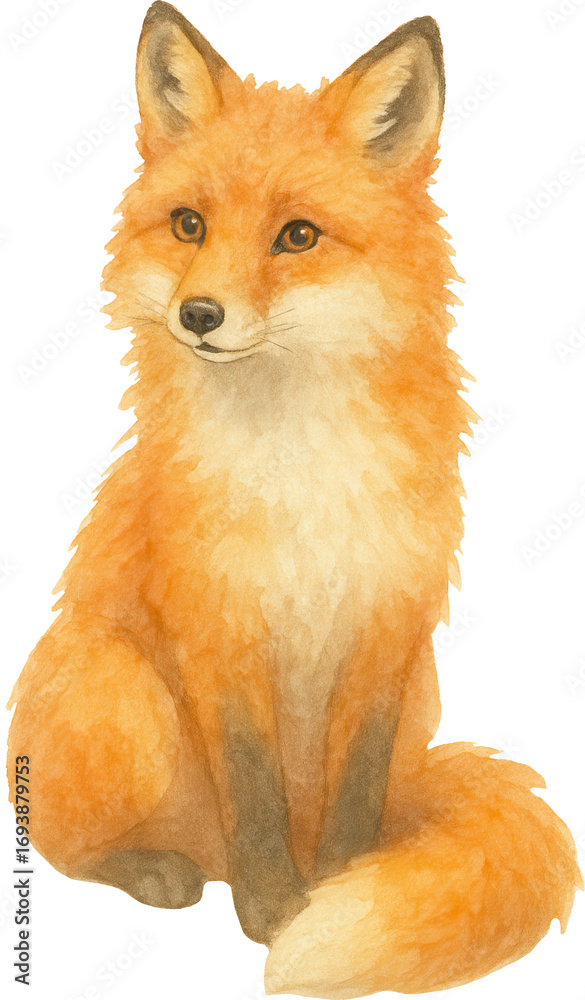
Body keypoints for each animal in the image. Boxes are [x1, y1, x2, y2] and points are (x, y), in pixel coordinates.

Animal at [8, 3, 581, 997]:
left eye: (298, 237)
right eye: (188, 224)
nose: (198, 316)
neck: (295, 466)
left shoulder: (387, 626)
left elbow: (354, 790)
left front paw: (345, 883)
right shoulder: (220, 628)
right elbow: (252, 792)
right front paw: (273, 911)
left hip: (419, 700)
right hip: (125, 692)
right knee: (61, 839)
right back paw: (158, 870)